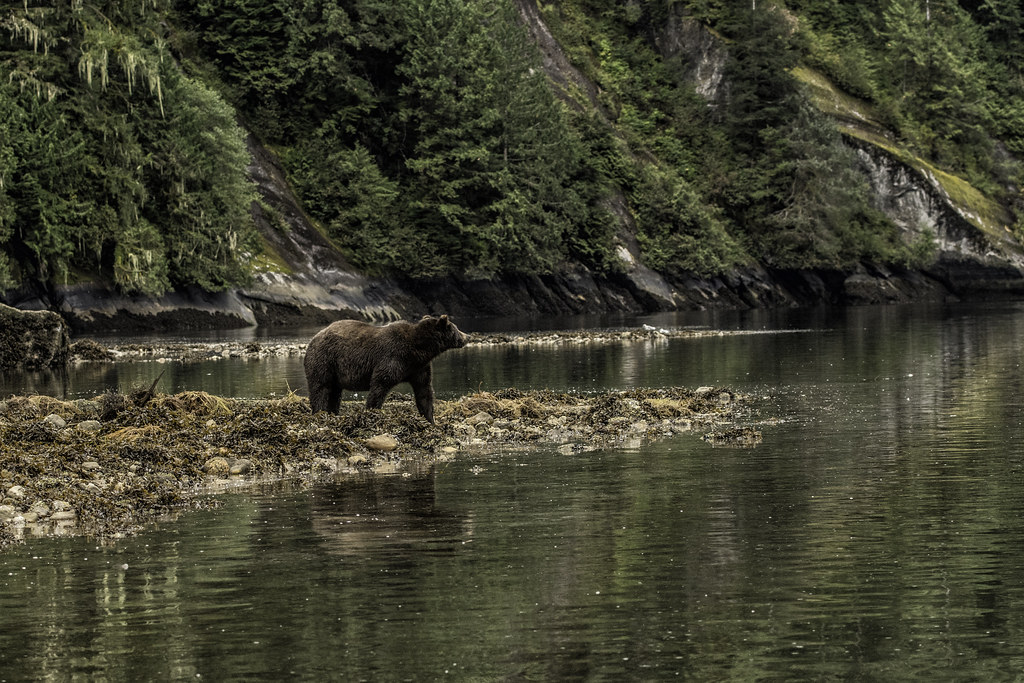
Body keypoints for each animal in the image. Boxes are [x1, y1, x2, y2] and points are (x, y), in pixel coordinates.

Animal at [301, 315, 466, 421]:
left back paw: (333, 413)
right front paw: (372, 411)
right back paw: (319, 412)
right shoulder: (392, 357)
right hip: (324, 359)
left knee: (335, 393)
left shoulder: (418, 367)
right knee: (320, 387)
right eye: (456, 328)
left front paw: (430, 419)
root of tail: (313, 339)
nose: (467, 337)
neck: (418, 350)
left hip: (335, 370)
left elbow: (424, 391)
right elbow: (380, 385)